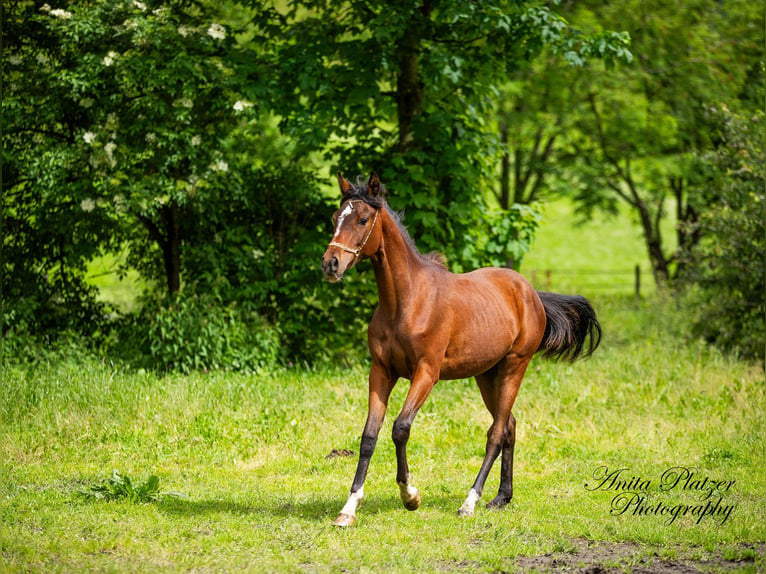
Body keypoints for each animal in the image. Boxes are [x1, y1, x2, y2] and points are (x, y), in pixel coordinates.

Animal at [320, 173, 604, 528]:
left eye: (362, 219)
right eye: (335, 217)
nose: (331, 264)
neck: (408, 301)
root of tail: (530, 293)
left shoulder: (426, 373)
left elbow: (400, 428)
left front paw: (410, 496)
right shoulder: (381, 372)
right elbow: (369, 436)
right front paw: (348, 508)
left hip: (515, 366)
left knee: (496, 432)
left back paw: (471, 501)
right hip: (487, 375)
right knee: (509, 425)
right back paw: (501, 497)